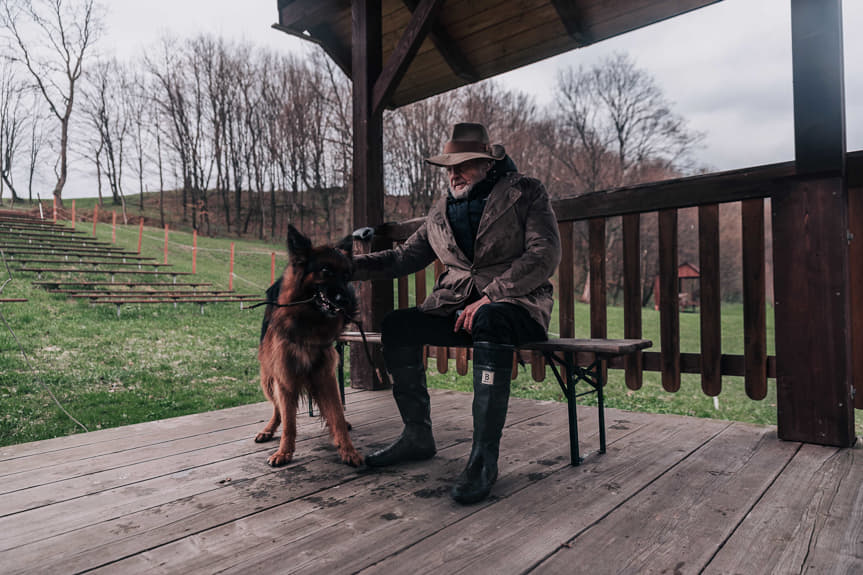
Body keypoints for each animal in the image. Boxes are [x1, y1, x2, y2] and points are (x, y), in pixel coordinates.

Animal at [253, 225, 362, 468]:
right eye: (326, 270)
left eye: (347, 275)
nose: (348, 301)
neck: (308, 322)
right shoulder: (284, 376)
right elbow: (289, 422)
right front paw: (284, 452)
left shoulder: (326, 375)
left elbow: (337, 415)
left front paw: (348, 450)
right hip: (268, 378)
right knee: (277, 409)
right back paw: (268, 430)